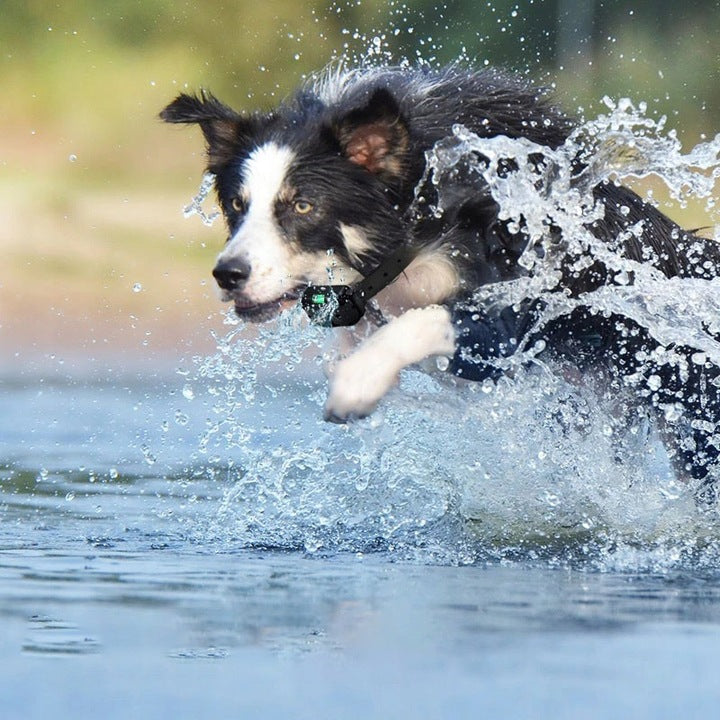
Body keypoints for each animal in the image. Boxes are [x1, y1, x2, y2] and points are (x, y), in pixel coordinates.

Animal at [160, 64, 720, 496]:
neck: (420, 211)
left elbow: (426, 320)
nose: (228, 274)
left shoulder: (515, 317)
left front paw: (359, 383)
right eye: (237, 205)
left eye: (302, 206)